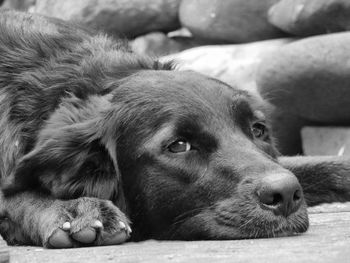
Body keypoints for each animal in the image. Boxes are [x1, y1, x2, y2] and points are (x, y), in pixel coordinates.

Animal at [0, 10, 350, 250]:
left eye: (259, 130)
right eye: (179, 145)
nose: (286, 194)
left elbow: (312, 164)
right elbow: (12, 195)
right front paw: (69, 209)